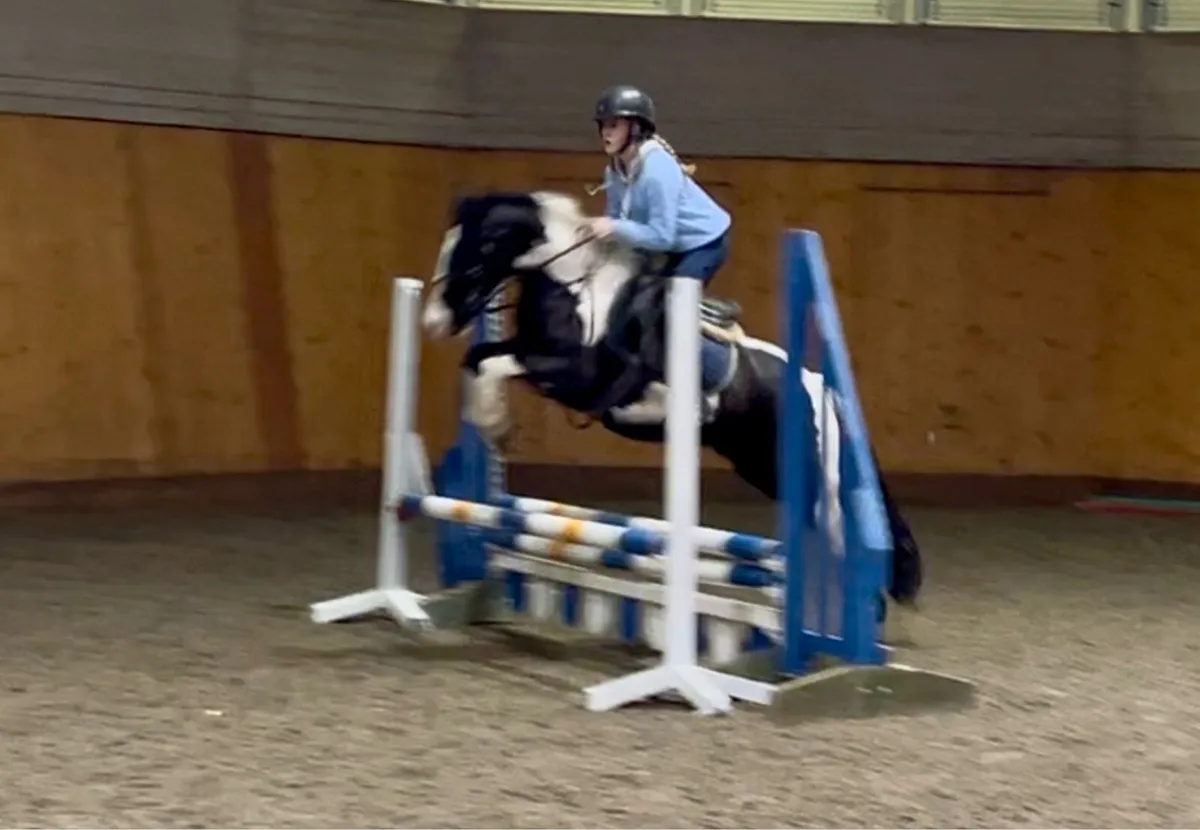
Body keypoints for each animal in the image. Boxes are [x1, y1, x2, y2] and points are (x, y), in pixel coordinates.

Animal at [421, 190, 924, 611]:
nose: (432, 322)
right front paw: (491, 427)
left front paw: (495, 425)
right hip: (758, 464)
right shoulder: (532, 353)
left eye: (478, 249)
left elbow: (493, 365)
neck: (576, 285)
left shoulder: (577, 376)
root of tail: (822, 387)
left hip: (795, 469)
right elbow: (478, 360)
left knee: (839, 531)